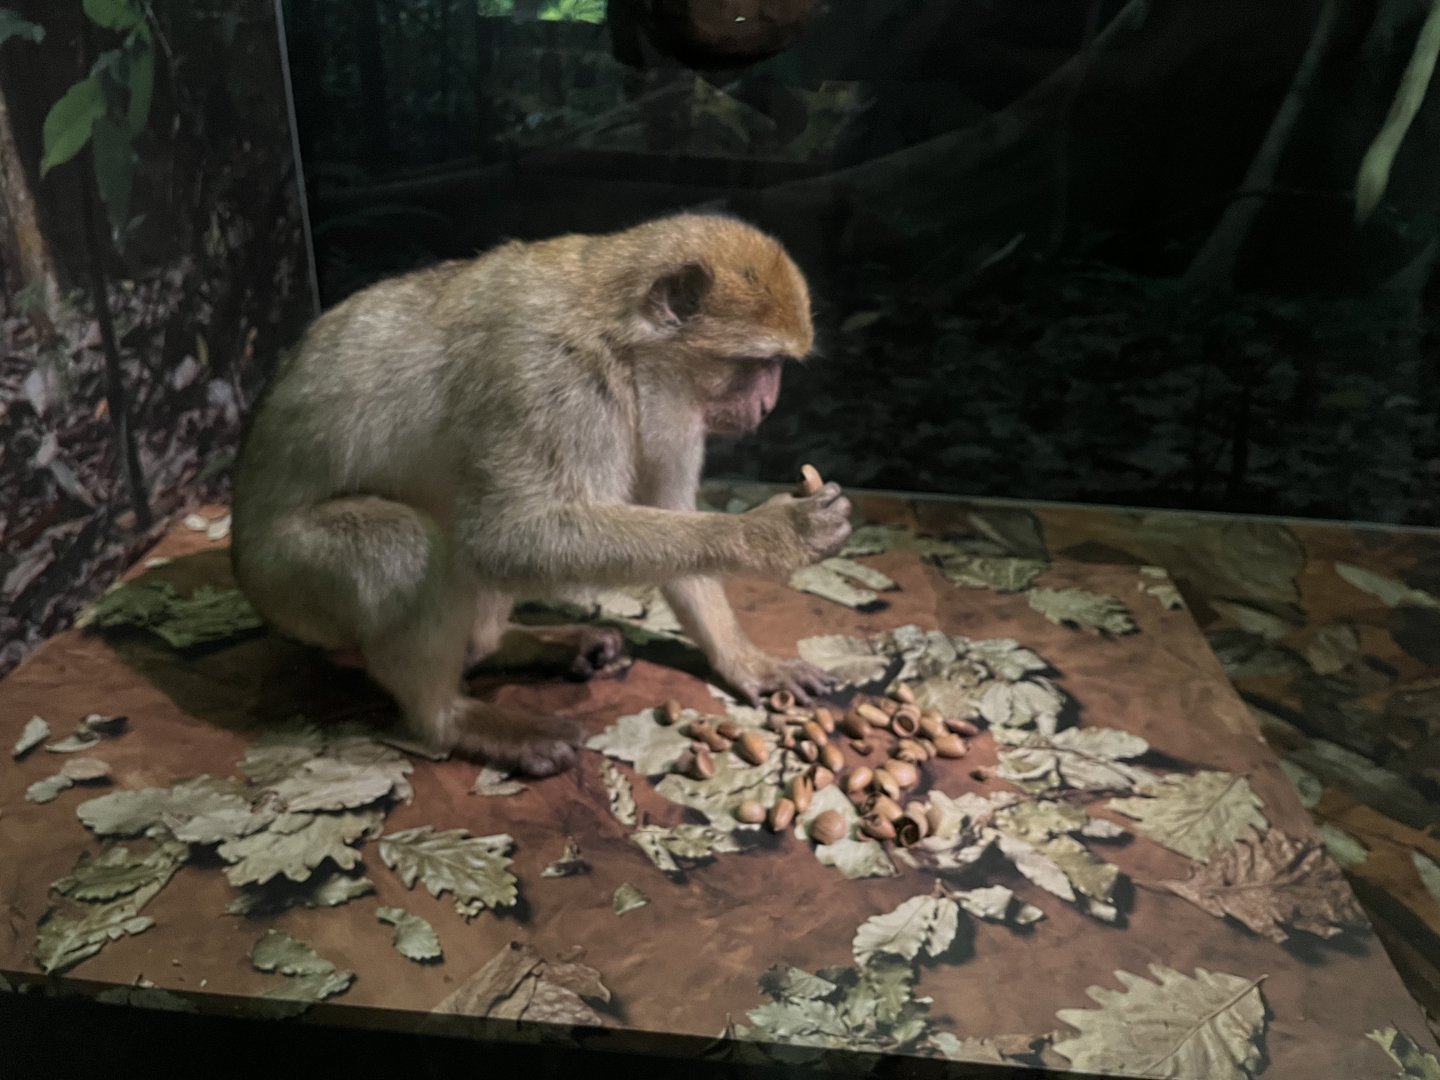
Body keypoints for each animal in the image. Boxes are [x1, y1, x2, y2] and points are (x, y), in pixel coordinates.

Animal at [230, 212, 852, 778]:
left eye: (775, 366)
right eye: (758, 365)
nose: (767, 404)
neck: (621, 340)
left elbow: (676, 534)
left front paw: (746, 660)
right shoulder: (554, 380)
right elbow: (506, 537)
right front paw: (768, 534)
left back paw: (508, 646)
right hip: (290, 584)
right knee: (410, 542)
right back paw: (450, 719)